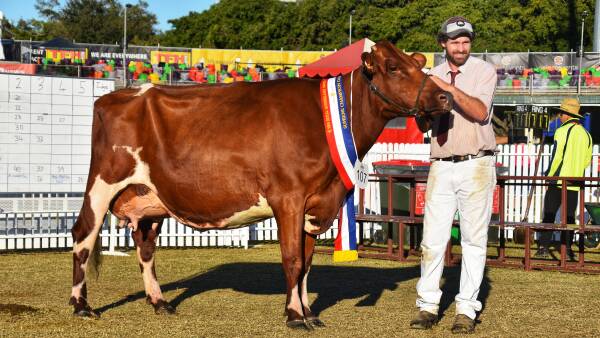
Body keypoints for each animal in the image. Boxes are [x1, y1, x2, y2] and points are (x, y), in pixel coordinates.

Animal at [68, 40, 450, 330]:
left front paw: (309, 313)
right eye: (393, 67)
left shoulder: (316, 203)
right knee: (83, 235)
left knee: (145, 246)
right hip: (102, 182)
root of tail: (113, 96)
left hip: (150, 198)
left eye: (417, 64)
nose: (444, 98)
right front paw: (294, 316)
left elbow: (307, 263)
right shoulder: (289, 197)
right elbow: (292, 259)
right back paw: (81, 305)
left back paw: (159, 302)